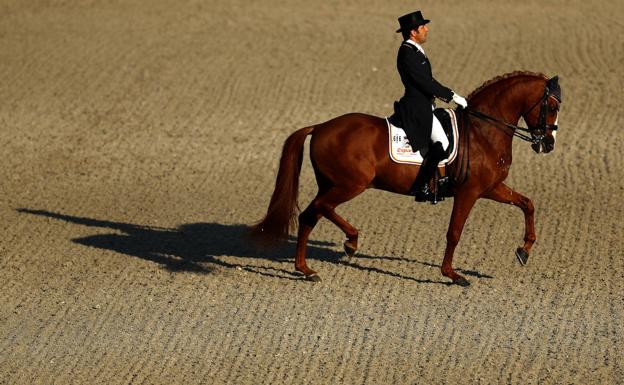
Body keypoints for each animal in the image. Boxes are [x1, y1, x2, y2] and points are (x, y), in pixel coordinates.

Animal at [251, 70, 564, 284]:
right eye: (552, 107)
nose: (548, 144)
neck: (482, 131)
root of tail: (320, 126)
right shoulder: (469, 191)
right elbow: (454, 232)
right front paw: (452, 274)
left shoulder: (491, 187)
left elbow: (527, 204)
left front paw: (524, 250)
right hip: (350, 185)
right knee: (319, 210)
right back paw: (347, 243)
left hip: (332, 184)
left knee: (310, 216)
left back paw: (308, 268)